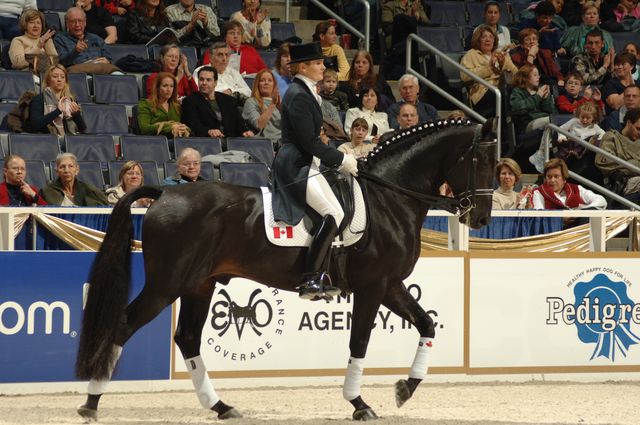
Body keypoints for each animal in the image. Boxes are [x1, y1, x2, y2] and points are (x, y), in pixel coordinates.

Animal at [75, 117, 496, 420]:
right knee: (123, 325)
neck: (388, 197)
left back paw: (221, 407)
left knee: (188, 338)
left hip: (199, 284)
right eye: (483, 161)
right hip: (167, 284)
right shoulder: (374, 286)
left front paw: (405, 389)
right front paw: (359, 403)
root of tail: (166, 192)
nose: (480, 219)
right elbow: (359, 342)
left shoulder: (391, 285)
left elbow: (426, 324)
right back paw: (91, 403)